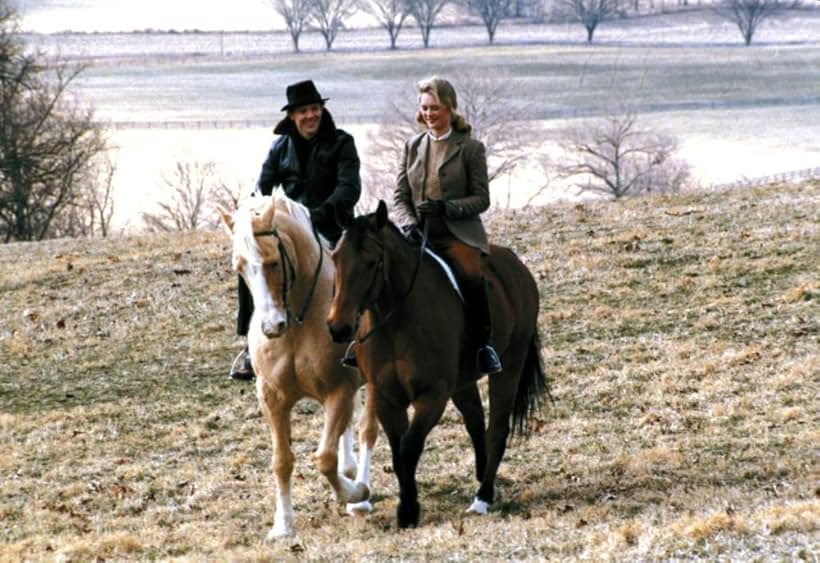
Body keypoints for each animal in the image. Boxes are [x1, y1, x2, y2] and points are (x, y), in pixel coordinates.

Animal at [221, 195, 382, 540]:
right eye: (240, 267)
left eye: (272, 262)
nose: (271, 327)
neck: (299, 322)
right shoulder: (272, 398)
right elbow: (282, 461)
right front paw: (282, 525)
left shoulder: (338, 392)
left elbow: (324, 458)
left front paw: (356, 493)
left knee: (367, 431)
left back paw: (360, 495)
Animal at [326, 202, 544, 528]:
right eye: (336, 258)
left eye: (372, 262)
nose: (338, 327)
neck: (396, 322)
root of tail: (517, 265)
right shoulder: (386, 397)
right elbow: (397, 452)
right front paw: (406, 506)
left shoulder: (433, 394)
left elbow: (409, 447)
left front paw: (408, 510)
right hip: (463, 381)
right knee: (475, 420)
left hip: (510, 364)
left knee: (496, 429)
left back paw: (483, 497)